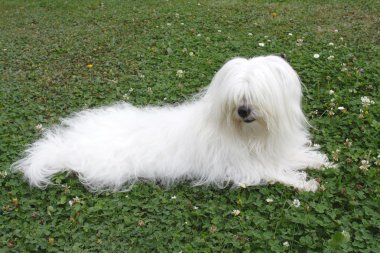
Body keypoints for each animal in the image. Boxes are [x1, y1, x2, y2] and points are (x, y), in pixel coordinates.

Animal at [13, 55, 332, 192]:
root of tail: (68, 144)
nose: (243, 111)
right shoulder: (241, 168)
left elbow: (293, 156)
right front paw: (305, 183)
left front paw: (319, 161)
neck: (251, 135)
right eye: (236, 99)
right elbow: (275, 172)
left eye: (255, 96)